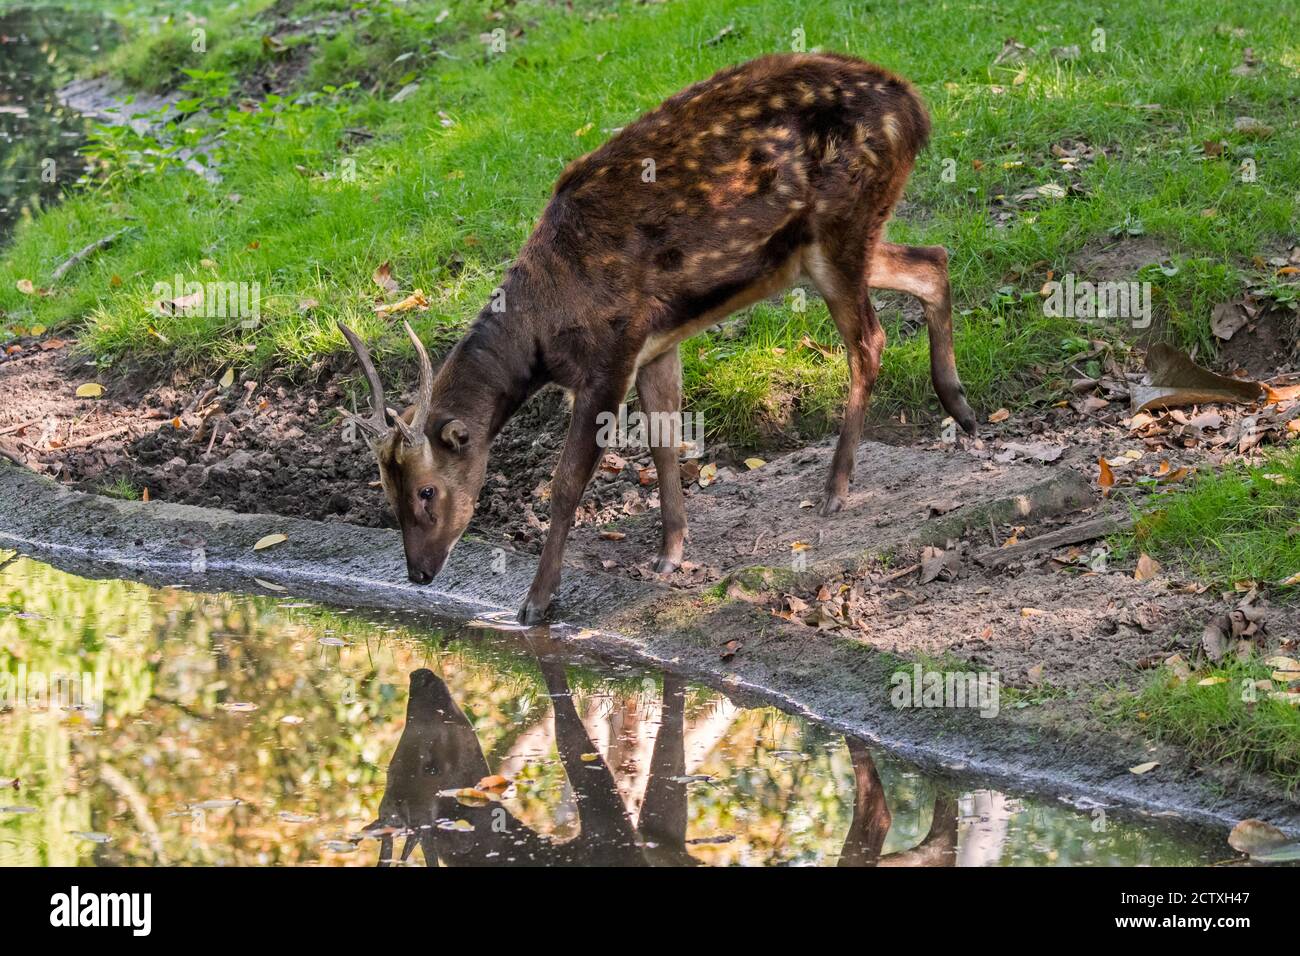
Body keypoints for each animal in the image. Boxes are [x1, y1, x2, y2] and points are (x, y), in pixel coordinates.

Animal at [343, 52, 977, 624]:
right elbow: (665, 437)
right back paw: (961, 410)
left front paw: (535, 603)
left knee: (870, 339)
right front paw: (671, 552)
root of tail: (915, 109)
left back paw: (837, 487)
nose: (418, 573)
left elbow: (567, 482)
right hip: (826, 248)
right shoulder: (656, 345)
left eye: (426, 492)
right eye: (385, 490)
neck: (545, 336)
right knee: (933, 258)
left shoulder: (611, 355)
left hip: (840, 225)